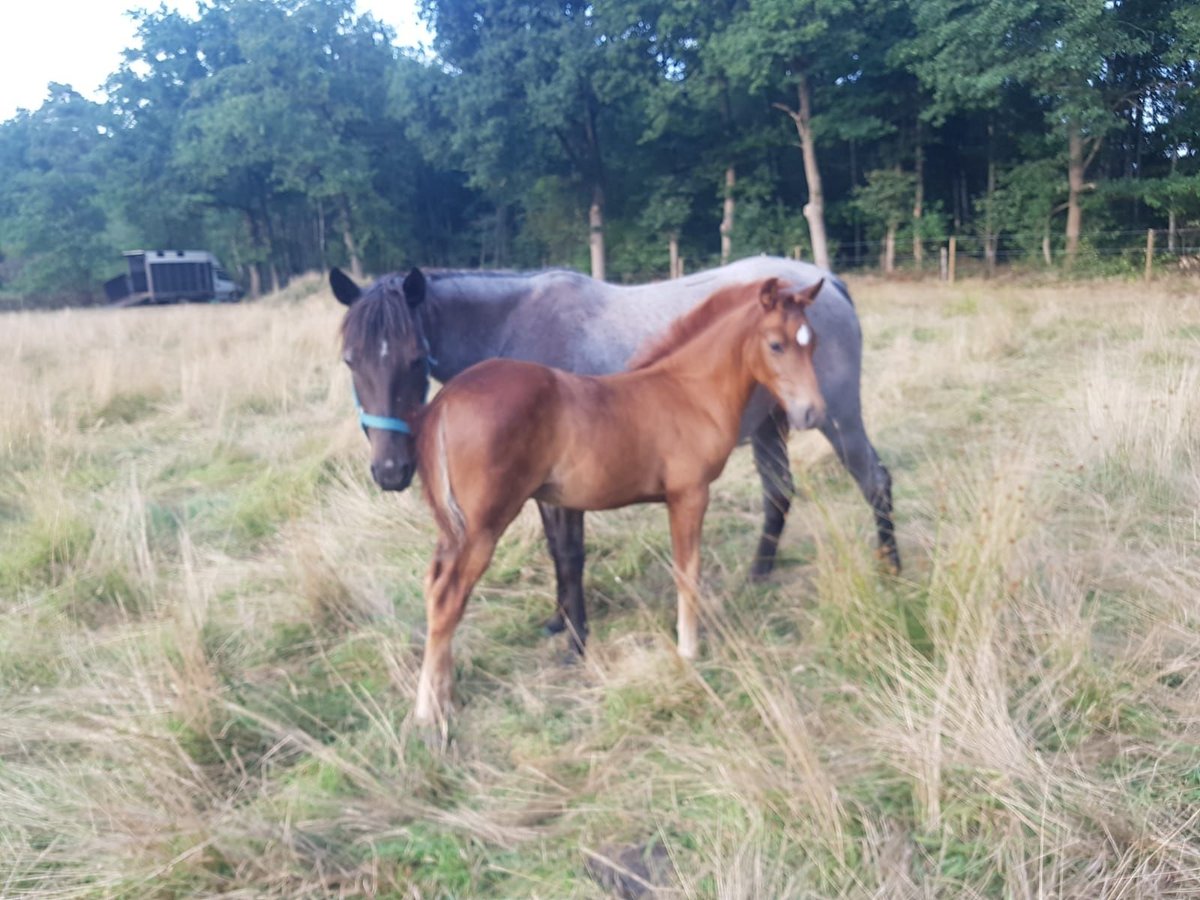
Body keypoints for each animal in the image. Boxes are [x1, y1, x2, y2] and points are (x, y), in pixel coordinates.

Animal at [331, 256, 897, 652]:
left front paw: (575, 635)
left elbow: (569, 553)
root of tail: (826, 280)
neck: (516, 325)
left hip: (836, 418)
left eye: (413, 359)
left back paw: (891, 569)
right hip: (769, 425)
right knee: (778, 493)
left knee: (875, 482)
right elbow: (556, 552)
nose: (391, 470)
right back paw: (758, 574)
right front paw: (558, 620)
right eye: (350, 360)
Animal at [395, 277, 824, 722]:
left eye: (812, 342)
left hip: (454, 527)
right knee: (448, 597)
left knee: (433, 585)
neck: (689, 390)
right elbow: (688, 570)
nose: (811, 413)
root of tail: (446, 399)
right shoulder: (689, 494)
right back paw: (429, 710)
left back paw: (443, 693)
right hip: (483, 525)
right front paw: (688, 649)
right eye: (775, 344)